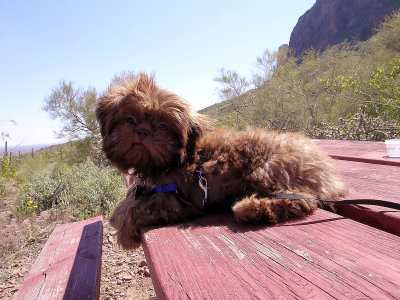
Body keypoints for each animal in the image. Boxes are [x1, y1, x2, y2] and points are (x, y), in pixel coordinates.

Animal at [96, 72, 346, 248]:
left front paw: (124, 230)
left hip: (267, 169)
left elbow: (134, 208)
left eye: (163, 125)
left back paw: (252, 208)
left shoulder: (175, 201)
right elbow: (132, 198)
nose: (143, 131)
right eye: (129, 119)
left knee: (304, 201)